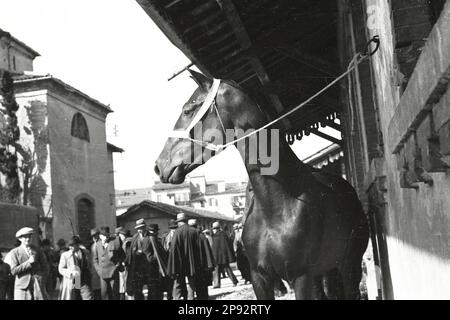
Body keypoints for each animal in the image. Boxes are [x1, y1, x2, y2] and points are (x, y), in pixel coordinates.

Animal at [155, 70, 370, 300]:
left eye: (188, 110)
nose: (159, 165)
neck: (278, 204)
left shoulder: (301, 277)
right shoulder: (260, 277)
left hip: (348, 266)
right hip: (326, 272)